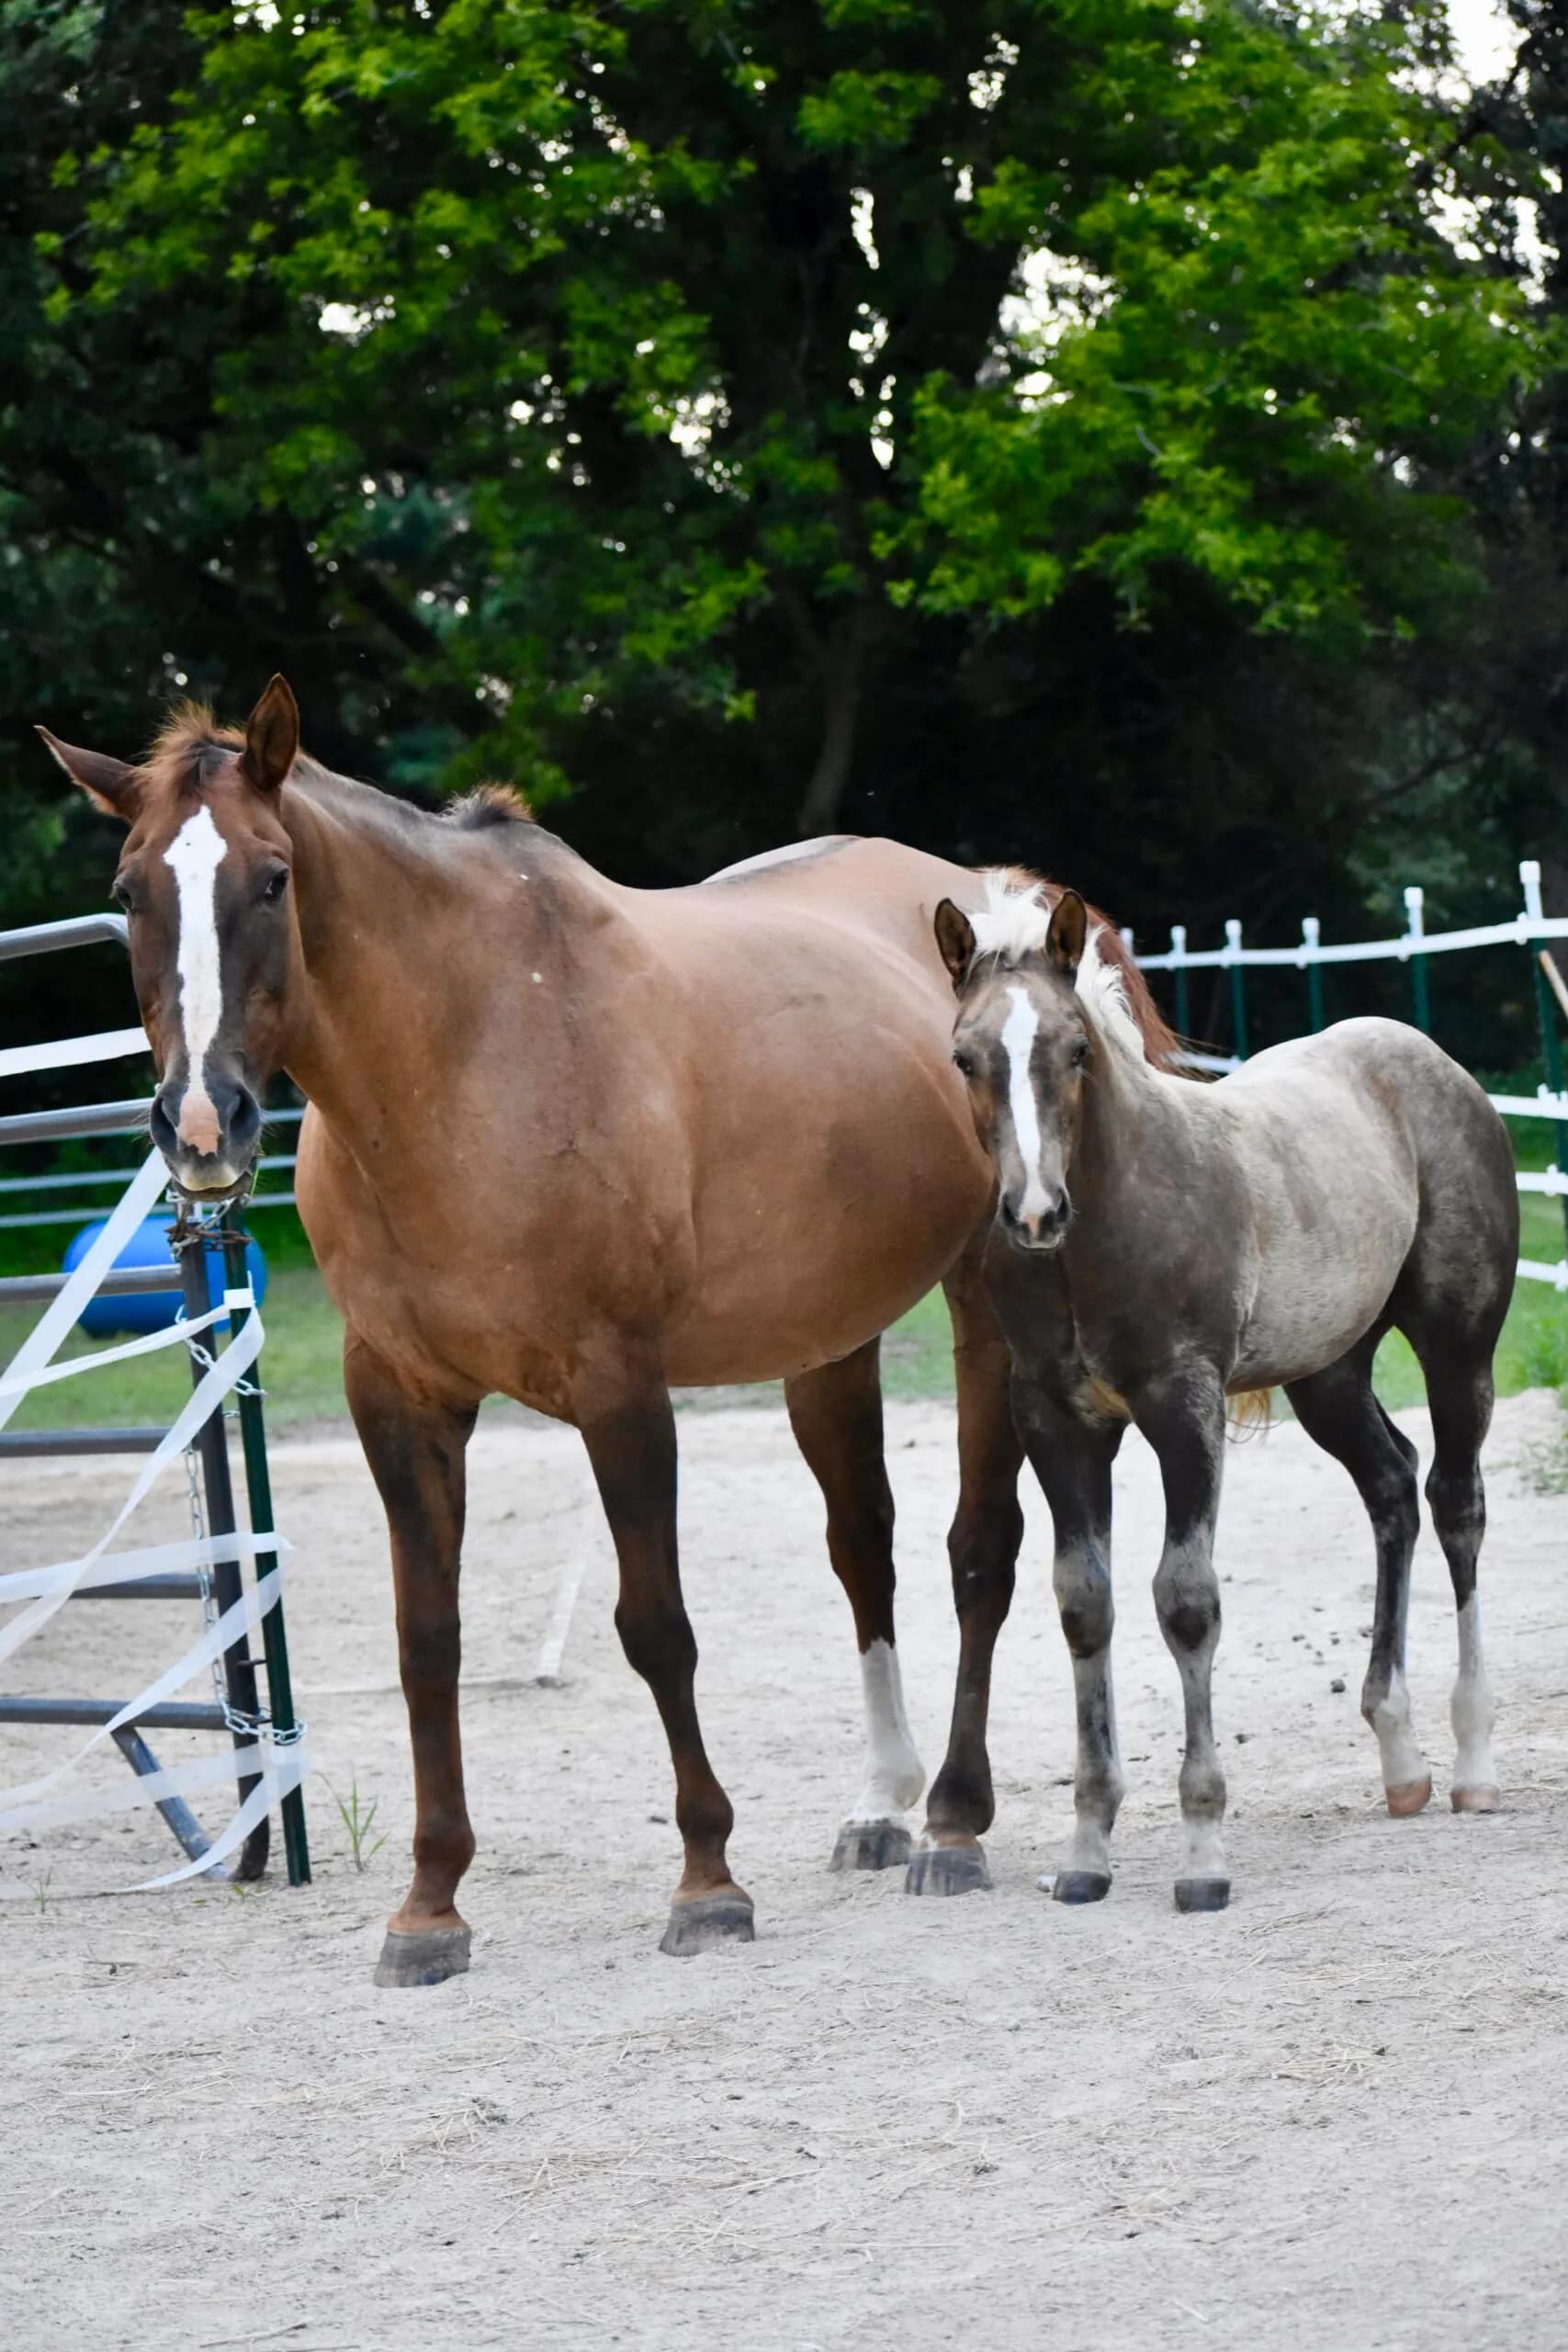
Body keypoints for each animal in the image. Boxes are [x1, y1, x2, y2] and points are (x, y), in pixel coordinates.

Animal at [41, 678, 1177, 1983]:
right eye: (130, 888)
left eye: (273, 878)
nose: (202, 1123)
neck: (467, 1055)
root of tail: (996, 894)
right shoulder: (400, 1398)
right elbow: (427, 1642)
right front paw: (429, 1906)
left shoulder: (618, 1388)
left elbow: (657, 1628)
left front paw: (709, 1883)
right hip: (825, 1343)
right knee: (864, 1550)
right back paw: (882, 1804)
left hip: (987, 1308)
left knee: (978, 1551)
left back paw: (950, 1818)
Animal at [932, 873, 1518, 1913]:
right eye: (966, 1056)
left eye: (1074, 1049)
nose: (1035, 1211)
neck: (1102, 1233)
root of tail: (1433, 1062)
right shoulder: (1057, 1420)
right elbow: (1083, 1602)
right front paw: (1087, 1852)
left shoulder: (1183, 1407)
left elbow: (1186, 1600)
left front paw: (1203, 1854)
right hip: (1329, 1374)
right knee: (1392, 1488)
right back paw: (1401, 1761)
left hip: (1459, 1351)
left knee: (1456, 1503)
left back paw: (1473, 1766)